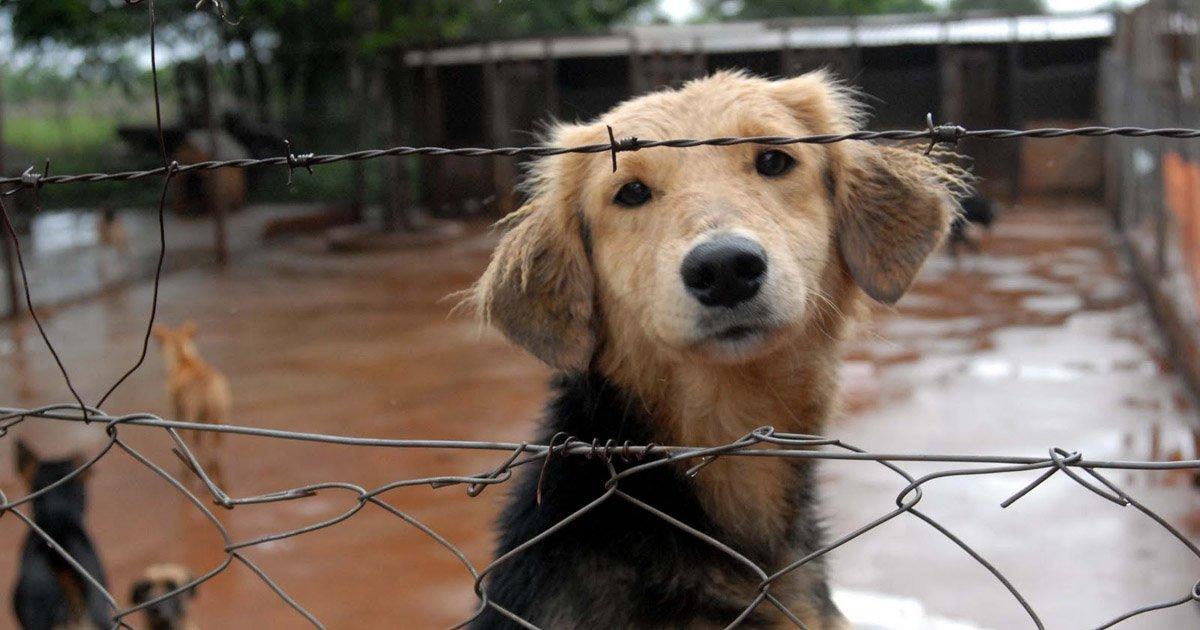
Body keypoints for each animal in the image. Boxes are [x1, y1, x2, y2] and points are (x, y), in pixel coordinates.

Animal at [152, 319, 229, 487]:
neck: (183, 356)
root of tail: (206, 386)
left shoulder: (177, 409)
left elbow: (181, 436)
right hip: (220, 416)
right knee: (215, 446)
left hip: (192, 415)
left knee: (194, 442)